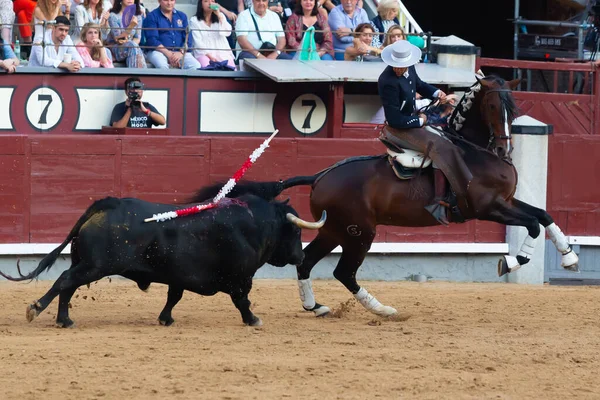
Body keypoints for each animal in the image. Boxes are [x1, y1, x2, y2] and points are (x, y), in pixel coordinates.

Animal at [0, 194, 326, 328]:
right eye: (296, 230)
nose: (301, 256)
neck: (255, 224)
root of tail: (107, 204)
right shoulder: (240, 278)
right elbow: (242, 301)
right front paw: (253, 320)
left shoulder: (178, 276)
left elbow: (174, 296)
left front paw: (165, 319)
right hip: (95, 266)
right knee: (64, 281)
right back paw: (36, 309)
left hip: (85, 264)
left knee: (67, 286)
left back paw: (64, 320)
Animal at [195, 76, 580, 318]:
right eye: (490, 107)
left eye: (513, 109)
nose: (504, 148)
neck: (475, 153)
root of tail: (321, 175)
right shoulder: (487, 208)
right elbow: (533, 225)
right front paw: (510, 262)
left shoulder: (506, 203)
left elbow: (544, 216)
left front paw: (570, 258)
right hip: (361, 232)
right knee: (343, 272)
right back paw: (382, 309)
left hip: (333, 229)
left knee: (305, 262)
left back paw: (315, 306)